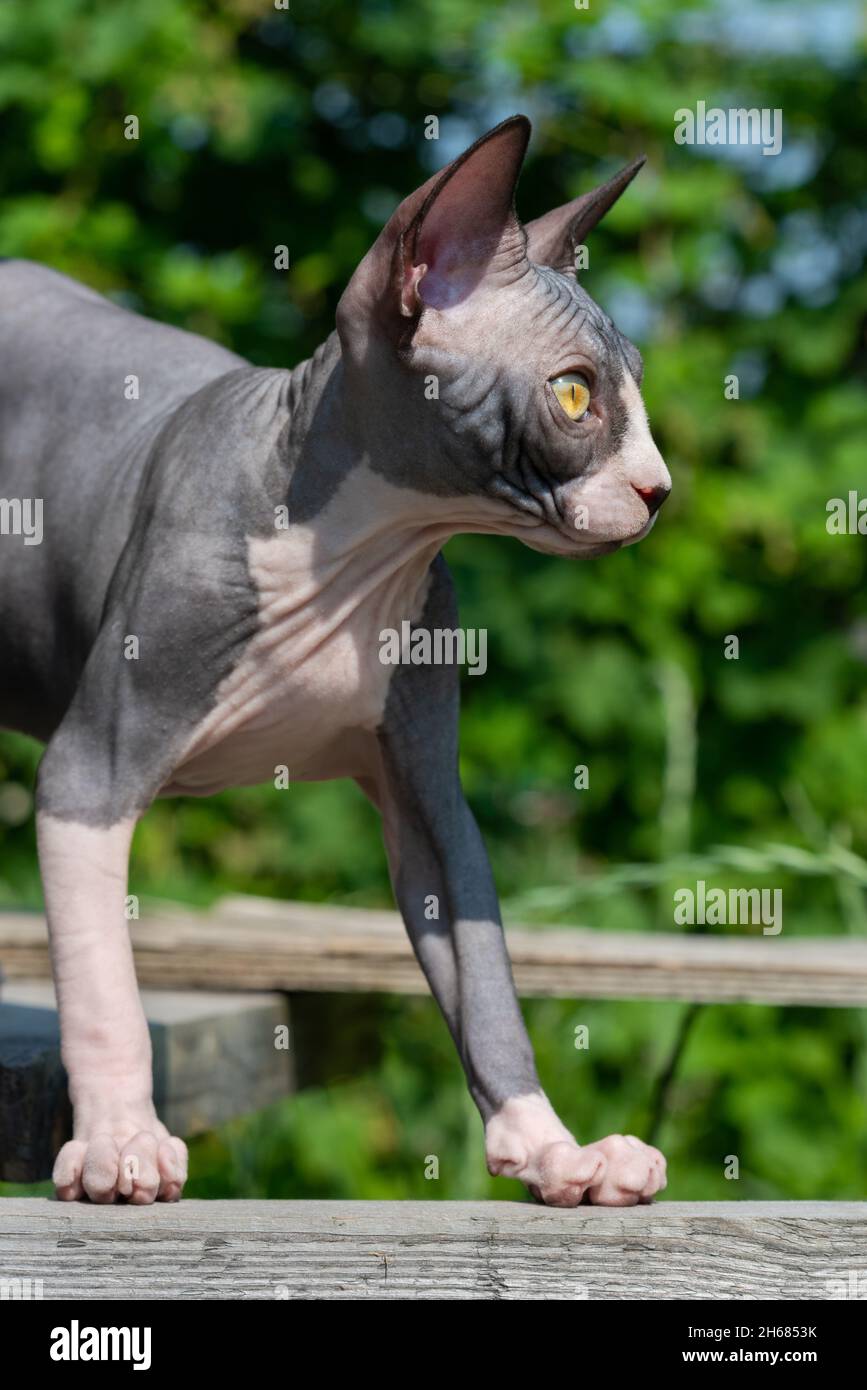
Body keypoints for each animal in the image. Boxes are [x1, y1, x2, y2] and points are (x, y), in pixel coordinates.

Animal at [0, 116, 669, 1206]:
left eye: (636, 388)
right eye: (576, 394)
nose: (661, 491)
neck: (357, 554)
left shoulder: (429, 796)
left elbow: (485, 982)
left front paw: (553, 1149)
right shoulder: (87, 774)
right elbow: (104, 986)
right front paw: (119, 1141)